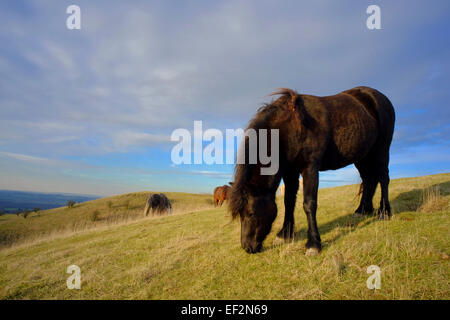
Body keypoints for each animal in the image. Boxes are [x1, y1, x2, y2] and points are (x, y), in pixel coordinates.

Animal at [230, 87, 396, 255]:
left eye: (250, 213)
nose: (247, 247)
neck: (292, 127)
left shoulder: (310, 167)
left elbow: (309, 204)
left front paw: (313, 243)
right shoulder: (290, 172)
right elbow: (288, 201)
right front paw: (284, 235)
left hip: (381, 149)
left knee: (383, 178)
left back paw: (384, 212)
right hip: (363, 155)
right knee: (369, 179)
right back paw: (362, 210)